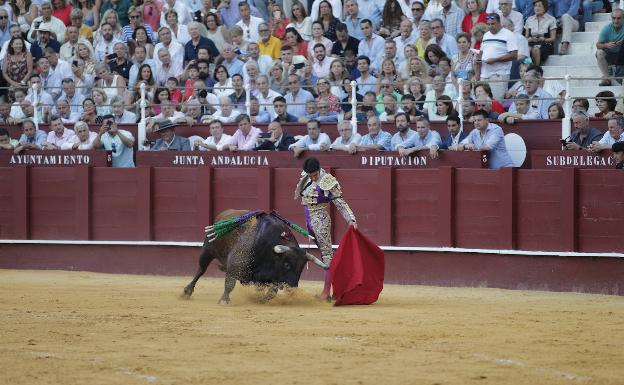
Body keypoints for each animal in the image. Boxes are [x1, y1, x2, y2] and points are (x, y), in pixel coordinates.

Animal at [183, 210, 326, 304]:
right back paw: (187, 291)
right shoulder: (234, 266)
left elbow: (271, 292)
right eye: (286, 264)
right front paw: (224, 300)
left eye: (301, 268)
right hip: (207, 250)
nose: (292, 289)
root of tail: (222, 214)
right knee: (201, 270)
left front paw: (260, 299)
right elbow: (229, 284)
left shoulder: (269, 277)